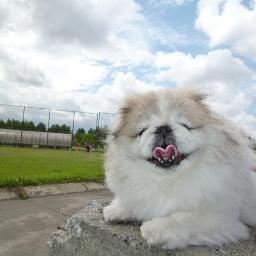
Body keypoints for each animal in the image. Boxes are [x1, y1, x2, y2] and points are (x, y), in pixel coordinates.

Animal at [102, 89, 256, 249]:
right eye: (142, 130)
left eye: (185, 125)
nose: (163, 128)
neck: (168, 180)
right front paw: (117, 209)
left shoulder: (221, 217)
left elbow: (184, 219)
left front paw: (154, 228)